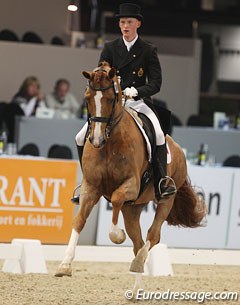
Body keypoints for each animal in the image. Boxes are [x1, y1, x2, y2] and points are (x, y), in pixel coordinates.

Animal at [55, 61, 206, 290]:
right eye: (88, 98)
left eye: (110, 98)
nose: (96, 140)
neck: (110, 144)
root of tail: (178, 148)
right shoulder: (91, 187)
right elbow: (79, 221)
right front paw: (64, 265)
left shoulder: (131, 185)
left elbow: (116, 198)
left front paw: (116, 235)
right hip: (133, 208)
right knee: (139, 242)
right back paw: (136, 288)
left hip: (166, 199)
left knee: (153, 236)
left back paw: (138, 263)